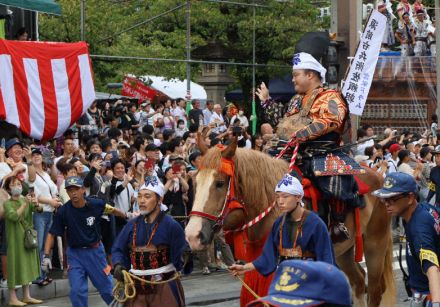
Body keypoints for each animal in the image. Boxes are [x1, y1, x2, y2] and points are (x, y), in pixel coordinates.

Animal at [186, 140, 396, 307]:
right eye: (195, 183)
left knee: (374, 290)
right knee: (358, 282)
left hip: (375, 242)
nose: (192, 235)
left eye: (220, 183)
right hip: (343, 249)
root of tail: (378, 175)